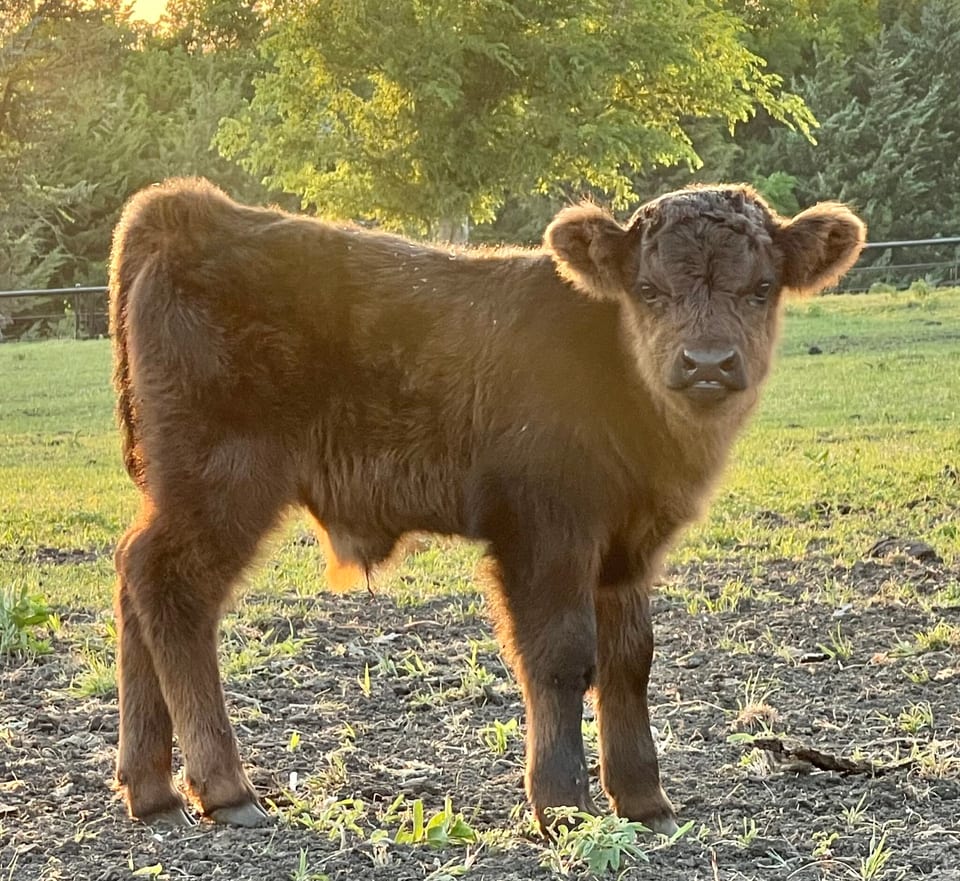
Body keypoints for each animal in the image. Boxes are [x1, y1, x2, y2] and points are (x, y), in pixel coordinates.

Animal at [108, 178, 865, 831]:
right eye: (648, 290)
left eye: (761, 288)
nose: (707, 362)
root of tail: (193, 211)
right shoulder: (545, 532)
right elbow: (562, 654)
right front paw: (561, 804)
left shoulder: (629, 545)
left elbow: (630, 659)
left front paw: (645, 801)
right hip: (223, 482)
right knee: (171, 587)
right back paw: (225, 789)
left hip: (182, 492)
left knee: (134, 576)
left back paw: (152, 792)